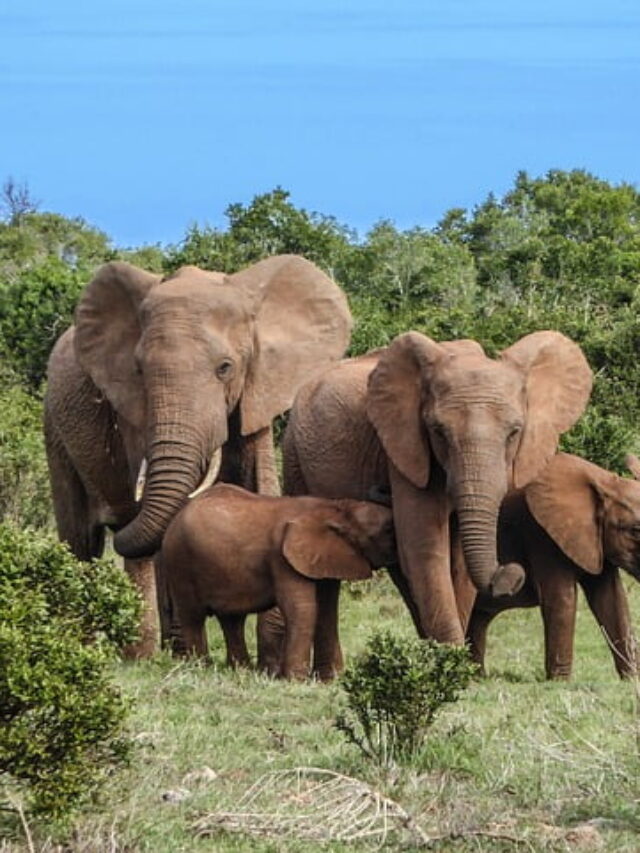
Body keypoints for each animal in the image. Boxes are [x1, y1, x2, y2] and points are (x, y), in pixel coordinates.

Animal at [44, 255, 351, 657]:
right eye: (139, 370)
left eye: (225, 368)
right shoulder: (134, 411)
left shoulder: (257, 392)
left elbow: (262, 484)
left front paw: (270, 655)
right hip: (54, 428)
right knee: (81, 541)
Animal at [158, 483, 396, 679]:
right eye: (388, 530)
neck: (335, 508)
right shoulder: (281, 558)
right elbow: (301, 609)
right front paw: (296, 681)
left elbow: (327, 610)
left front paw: (332, 679)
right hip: (179, 561)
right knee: (193, 617)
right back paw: (201, 669)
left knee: (232, 620)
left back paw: (241, 672)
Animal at [282, 331, 593, 658]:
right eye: (438, 431)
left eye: (515, 432)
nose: (511, 574)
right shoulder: (405, 449)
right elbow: (426, 548)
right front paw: (452, 662)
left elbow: (457, 562)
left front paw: (452, 663)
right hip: (294, 455)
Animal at [467, 453, 640, 680]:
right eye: (634, 530)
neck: (606, 481)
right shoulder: (540, 534)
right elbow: (561, 599)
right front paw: (561, 682)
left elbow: (612, 599)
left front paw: (632, 679)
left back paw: (477, 677)